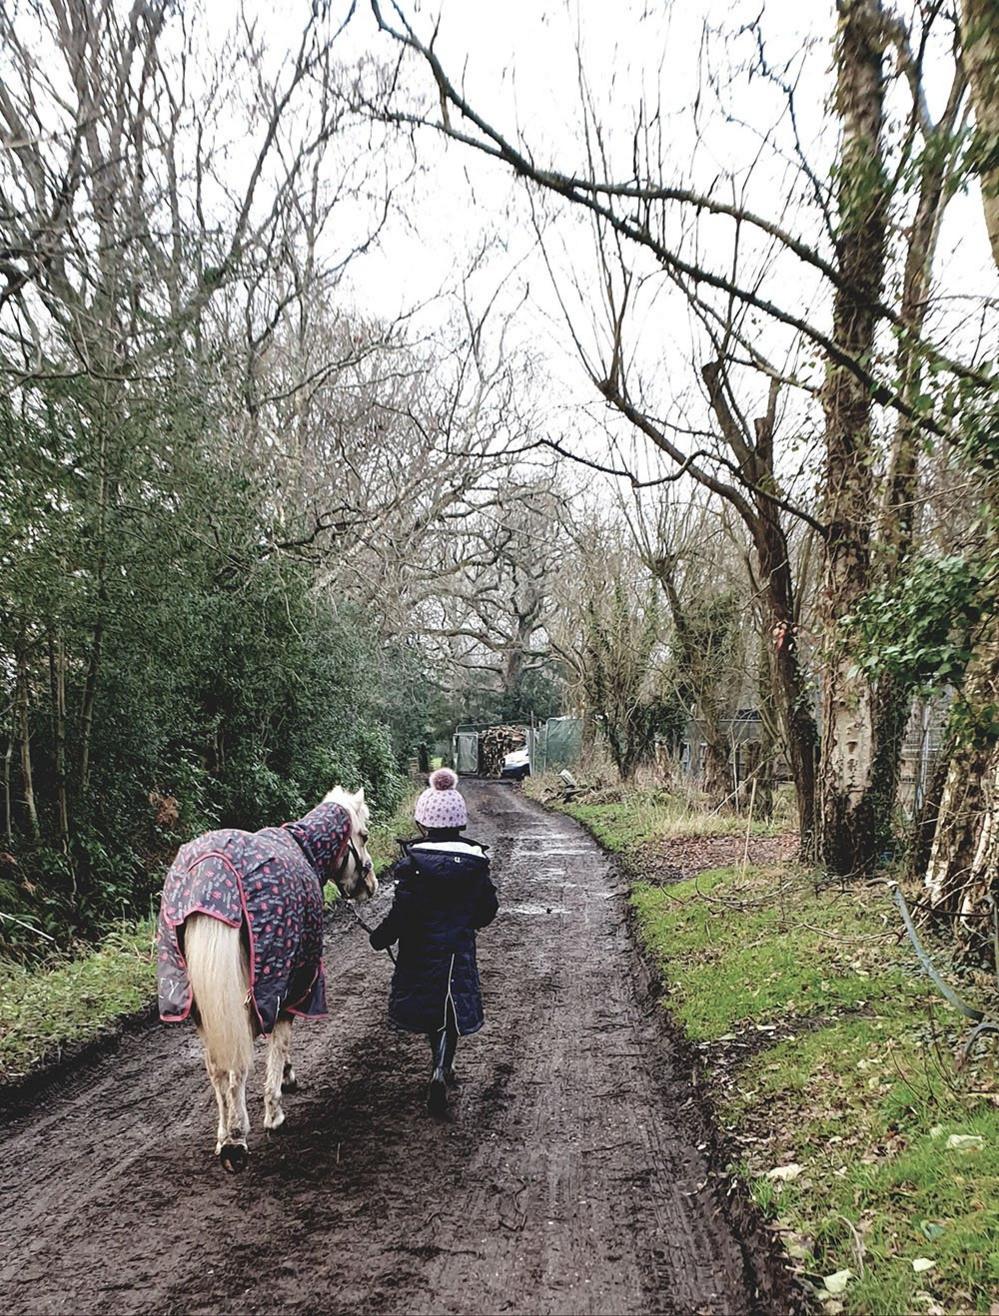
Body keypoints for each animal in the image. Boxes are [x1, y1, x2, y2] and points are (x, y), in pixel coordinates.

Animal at [154, 784, 376, 1168]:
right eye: (362, 835)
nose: (372, 884)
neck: (303, 847)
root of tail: (212, 874)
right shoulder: (293, 985)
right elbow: (280, 1042)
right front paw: (276, 1105)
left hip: (199, 1006)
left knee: (217, 1067)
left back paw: (223, 1135)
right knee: (237, 1067)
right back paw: (237, 1136)